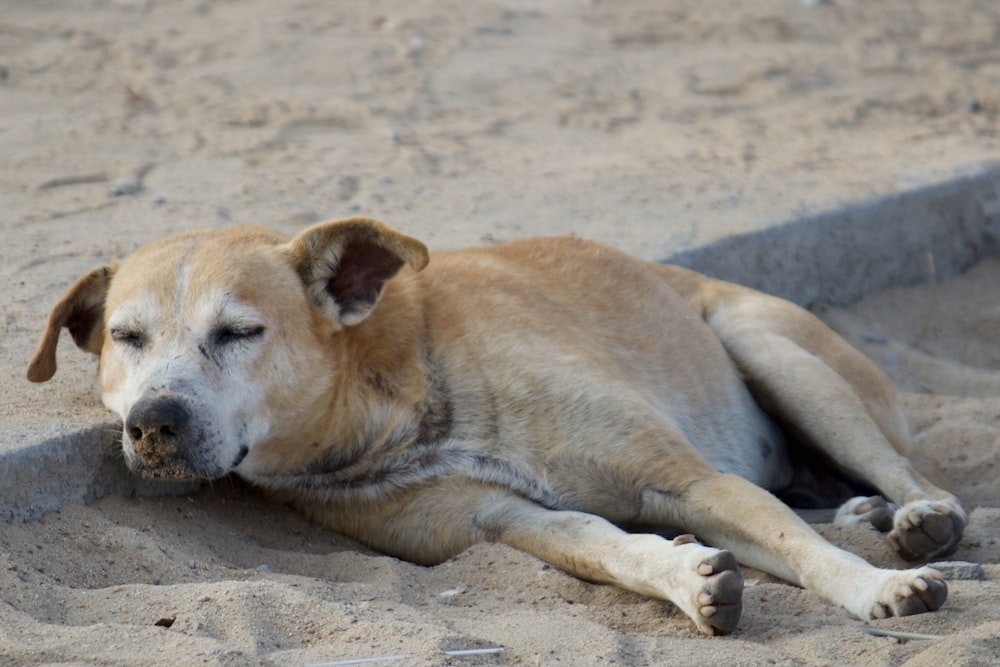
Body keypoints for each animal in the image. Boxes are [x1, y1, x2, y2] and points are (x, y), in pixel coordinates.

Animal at [29, 217, 968, 636]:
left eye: (239, 331)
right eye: (127, 338)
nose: (153, 422)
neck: (403, 400)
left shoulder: (692, 476)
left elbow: (799, 549)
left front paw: (876, 588)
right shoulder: (503, 519)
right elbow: (606, 545)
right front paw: (685, 574)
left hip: (775, 350)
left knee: (902, 466)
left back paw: (918, 517)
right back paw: (866, 513)